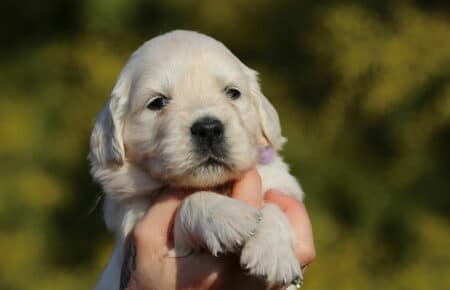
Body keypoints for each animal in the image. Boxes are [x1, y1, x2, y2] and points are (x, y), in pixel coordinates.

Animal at [89, 30, 304, 290]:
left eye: (233, 92)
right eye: (157, 102)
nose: (208, 129)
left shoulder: (280, 184)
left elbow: (274, 205)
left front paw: (273, 253)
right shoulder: (136, 219)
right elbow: (189, 201)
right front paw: (227, 216)